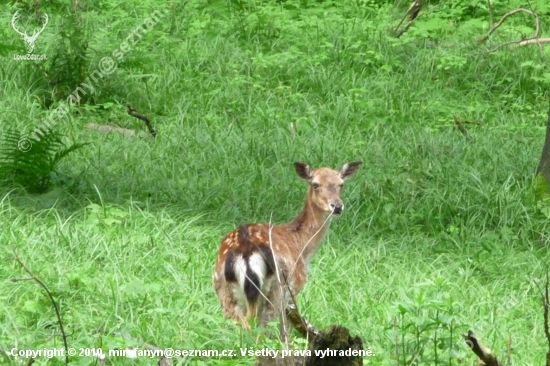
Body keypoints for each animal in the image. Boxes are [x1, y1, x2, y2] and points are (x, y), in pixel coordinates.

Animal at [213, 162, 364, 338]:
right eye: (315, 184)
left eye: (341, 184)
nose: (337, 206)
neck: (302, 246)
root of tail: (246, 251)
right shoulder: (295, 287)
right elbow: (286, 327)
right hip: (277, 288)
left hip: (222, 287)